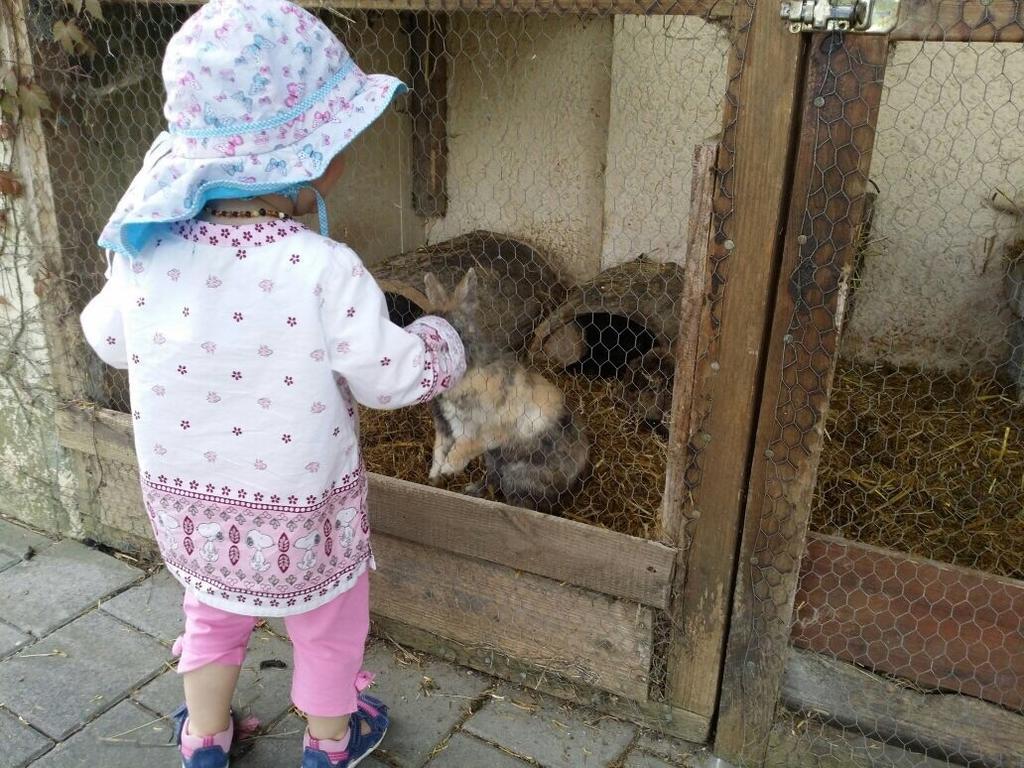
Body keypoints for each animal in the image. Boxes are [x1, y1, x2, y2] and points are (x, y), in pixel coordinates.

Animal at [419, 268, 589, 514]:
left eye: (457, 330)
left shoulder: (478, 433)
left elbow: (463, 449)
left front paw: (449, 468)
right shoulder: (445, 430)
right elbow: (438, 451)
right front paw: (434, 475)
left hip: (515, 474)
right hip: (495, 462)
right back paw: (472, 489)